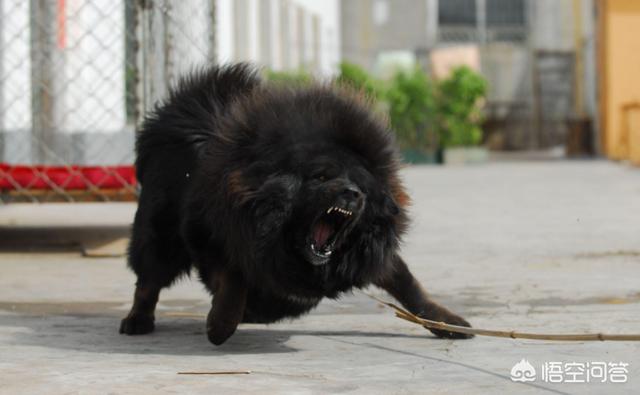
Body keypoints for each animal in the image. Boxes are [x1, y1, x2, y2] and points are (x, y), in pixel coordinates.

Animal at [120, 63, 470, 344]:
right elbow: (233, 280)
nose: (351, 193)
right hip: (159, 239)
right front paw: (220, 325)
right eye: (320, 177)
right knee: (148, 282)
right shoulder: (214, 236)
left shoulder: (371, 255)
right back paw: (137, 320)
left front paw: (446, 322)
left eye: (362, 187)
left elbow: (410, 286)